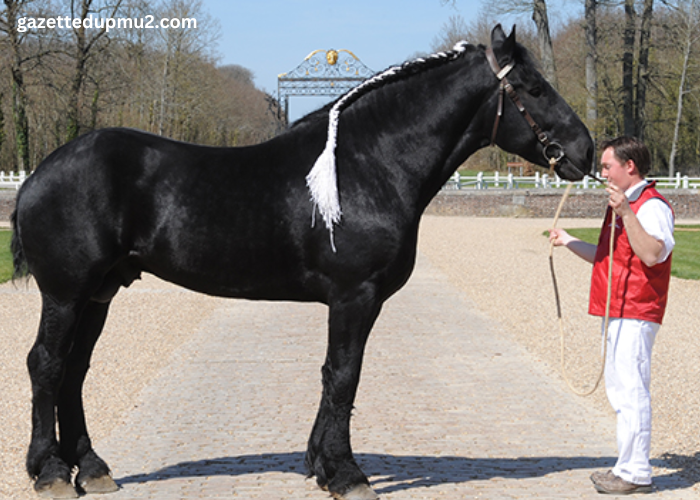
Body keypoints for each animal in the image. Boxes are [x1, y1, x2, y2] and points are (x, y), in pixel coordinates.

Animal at [10, 26, 592, 500]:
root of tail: (40, 173)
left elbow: (333, 376)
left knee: (74, 371)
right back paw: (51, 473)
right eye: (534, 89)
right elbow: (344, 374)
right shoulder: (355, 295)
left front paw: (319, 464)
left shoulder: (353, 300)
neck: (368, 164)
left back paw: (92, 469)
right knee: (47, 364)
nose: (585, 151)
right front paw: (346, 474)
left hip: (100, 293)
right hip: (65, 293)